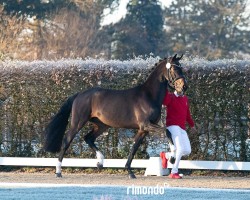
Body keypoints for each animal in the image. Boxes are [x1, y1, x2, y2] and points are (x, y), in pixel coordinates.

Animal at [44, 54, 187, 179]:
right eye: (174, 68)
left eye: (181, 67)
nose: (183, 87)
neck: (149, 95)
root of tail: (79, 94)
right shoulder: (146, 125)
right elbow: (167, 131)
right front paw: (172, 158)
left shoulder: (143, 129)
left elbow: (134, 148)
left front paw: (130, 172)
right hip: (78, 122)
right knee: (67, 141)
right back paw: (58, 171)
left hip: (102, 125)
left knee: (88, 138)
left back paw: (100, 162)